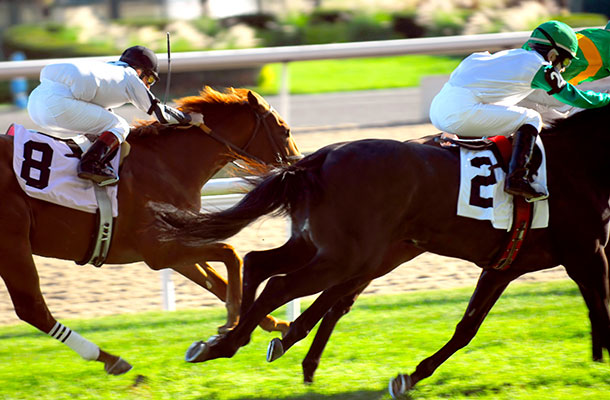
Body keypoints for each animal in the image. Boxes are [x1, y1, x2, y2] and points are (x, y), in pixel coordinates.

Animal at [0, 86, 300, 376]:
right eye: (284, 130)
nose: (297, 165)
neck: (169, 163)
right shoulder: (158, 250)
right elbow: (231, 254)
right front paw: (231, 322)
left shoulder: (173, 245)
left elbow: (215, 281)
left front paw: (276, 325)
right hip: (13, 244)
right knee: (33, 309)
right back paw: (109, 358)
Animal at [151, 104, 608, 396]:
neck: (575, 161)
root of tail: (320, 157)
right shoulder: (588, 253)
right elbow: (602, 310)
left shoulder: (504, 265)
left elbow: (467, 328)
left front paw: (411, 376)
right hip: (349, 253)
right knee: (283, 283)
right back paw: (238, 342)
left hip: (327, 246)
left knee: (261, 263)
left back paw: (230, 339)